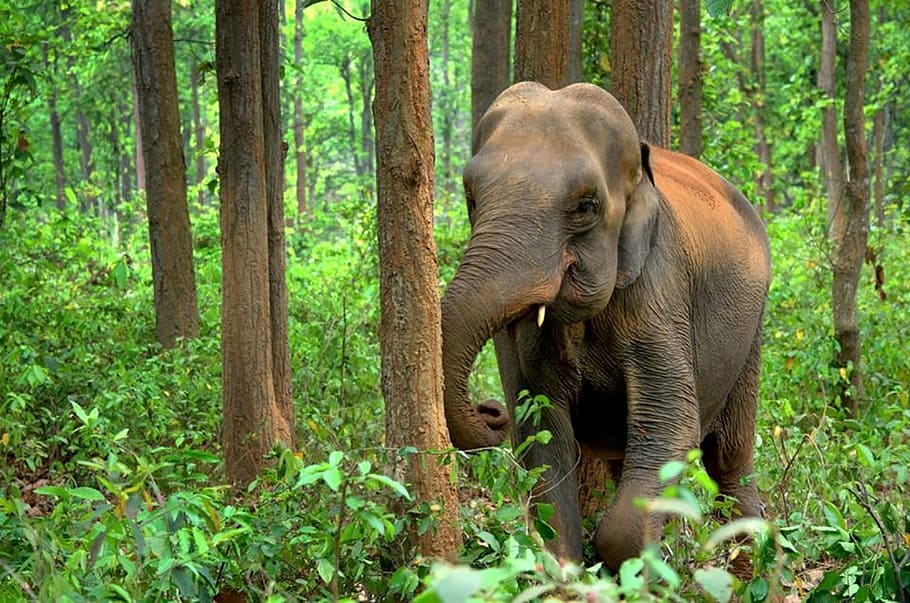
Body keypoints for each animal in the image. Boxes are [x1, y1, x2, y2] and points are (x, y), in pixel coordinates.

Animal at [440, 81, 771, 570]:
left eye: (586, 206)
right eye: (472, 199)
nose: (491, 411)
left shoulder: (658, 289)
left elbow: (674, 423)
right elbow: (543, 434)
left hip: (751, 333)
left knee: (729, 461)